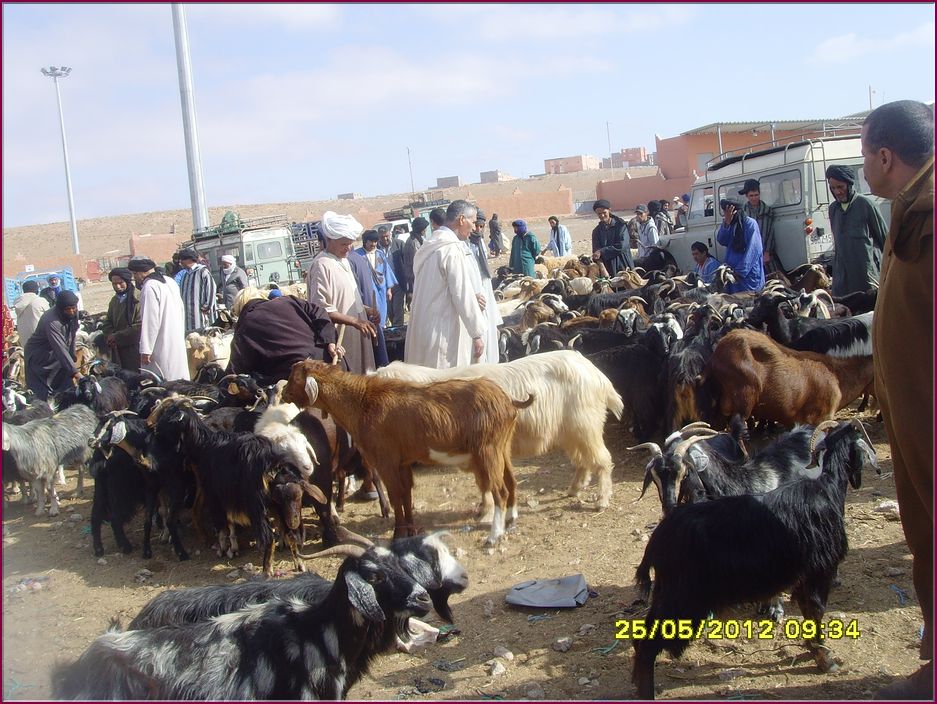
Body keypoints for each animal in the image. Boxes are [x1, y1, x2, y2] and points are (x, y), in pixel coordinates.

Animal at [282, 360, 532, 548]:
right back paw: (512, 520)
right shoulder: (402, 461)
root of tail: (509, 401)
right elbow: (406, 493)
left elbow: (395, 495)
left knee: (499, 490)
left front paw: (398, 534)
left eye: (295, 377)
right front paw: (411, 531)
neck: (362, 401)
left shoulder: (386, 459)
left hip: (488, 450)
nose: (284, 393)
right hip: (502, 447)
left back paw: (494, 536)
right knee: (511, 482)